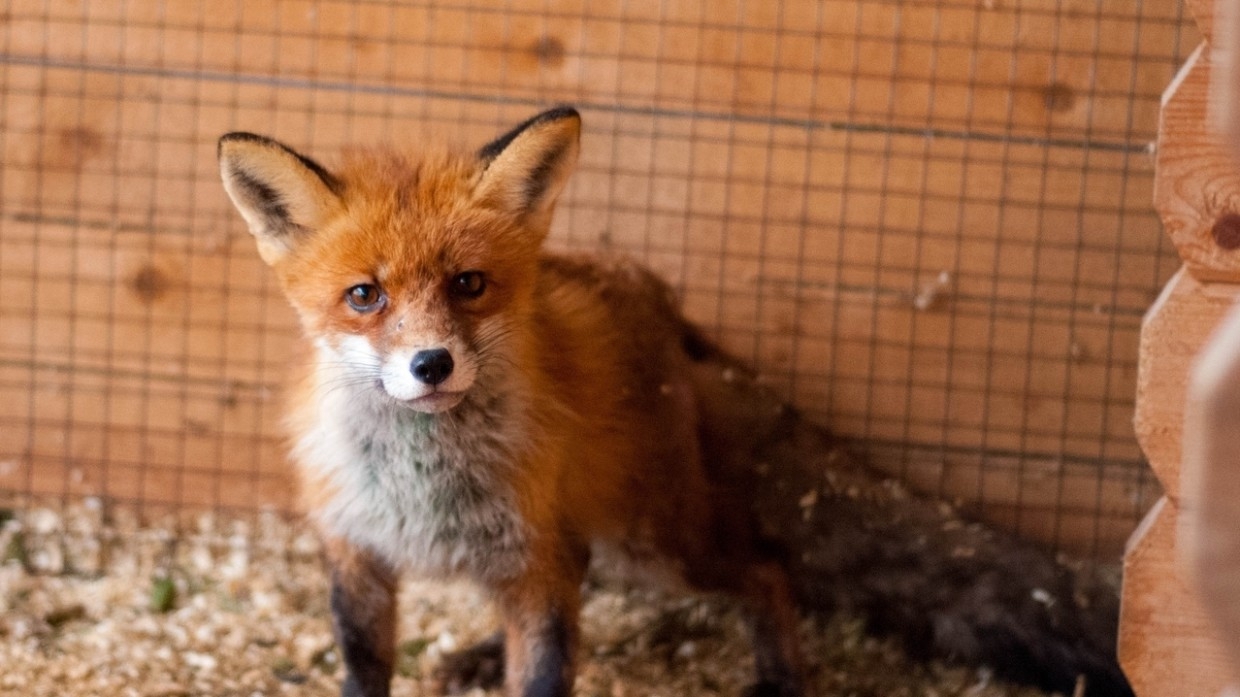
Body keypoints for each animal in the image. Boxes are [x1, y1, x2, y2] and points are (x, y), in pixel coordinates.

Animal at [215, 104, 803, 694]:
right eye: (364, 295)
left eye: (468, 283)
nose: (432, 363)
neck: (422, 487)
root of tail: (654, 291)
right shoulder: (356, 552)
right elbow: (364, 664)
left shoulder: (536, 557)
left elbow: (544, 670)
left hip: (657, 545)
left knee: (770, 568)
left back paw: (780, 676)